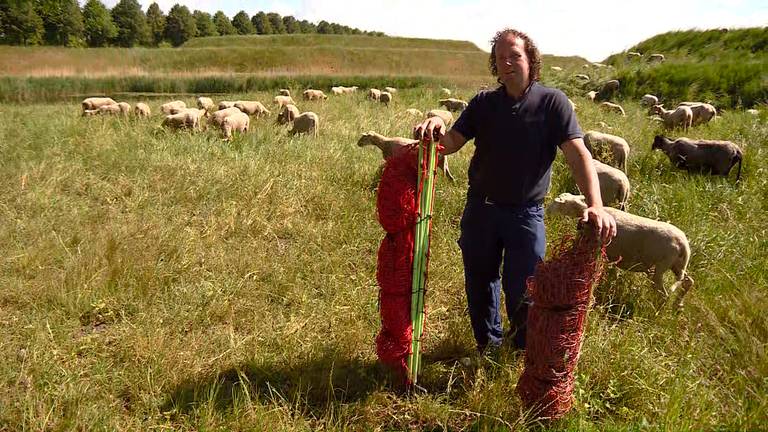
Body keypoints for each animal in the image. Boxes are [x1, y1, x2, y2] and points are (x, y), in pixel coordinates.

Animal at [544, 192, 696, 308]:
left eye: (557, 202)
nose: (546, 212)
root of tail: (684, 244)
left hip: (661, 267)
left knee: (663, 294)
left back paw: (655, 313)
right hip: (677, 265)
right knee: (688, 281)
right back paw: (677, 306)